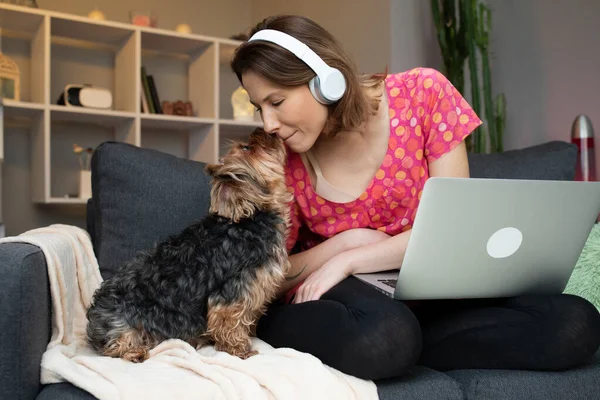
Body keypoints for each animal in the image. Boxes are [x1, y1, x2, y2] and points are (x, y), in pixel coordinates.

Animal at [86, 129, 292, 362]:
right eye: (248, 148)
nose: (263, 130)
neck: (252, 218)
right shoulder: (234, 290)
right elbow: (230, 321)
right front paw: (240, 349)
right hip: (126, 321)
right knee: (115, 345)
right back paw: (135, 351)